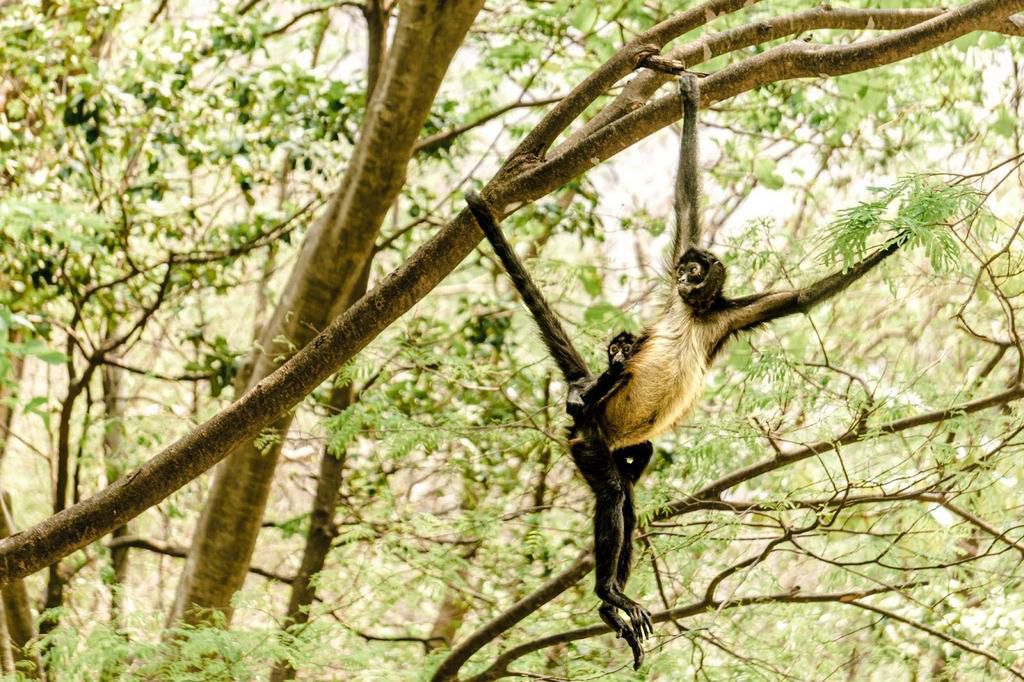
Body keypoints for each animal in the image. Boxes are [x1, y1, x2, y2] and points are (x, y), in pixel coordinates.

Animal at [464, 74, 907, 666]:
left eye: (696, 270)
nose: (683, 277)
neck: (696, 312)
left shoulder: (727, 314)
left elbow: (802, 297)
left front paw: (893, 242)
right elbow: (685, 199)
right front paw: (689, 101)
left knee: (627, 500)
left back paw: (608, 604)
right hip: (587, 442)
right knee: (613, 496)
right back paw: (608, 592)